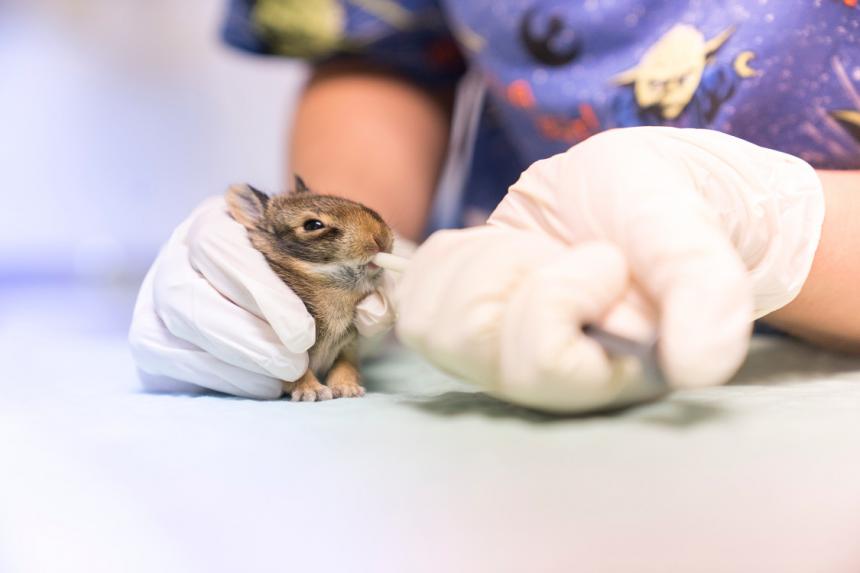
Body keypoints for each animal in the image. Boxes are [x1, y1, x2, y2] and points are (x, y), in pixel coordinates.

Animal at [225, 177, 394, 400]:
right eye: (313, 225)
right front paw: (311, 391)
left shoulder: (348, 346)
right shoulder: (289, 350)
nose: (381, 237)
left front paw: (347, 388)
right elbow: (298, 371)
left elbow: (345, 366)